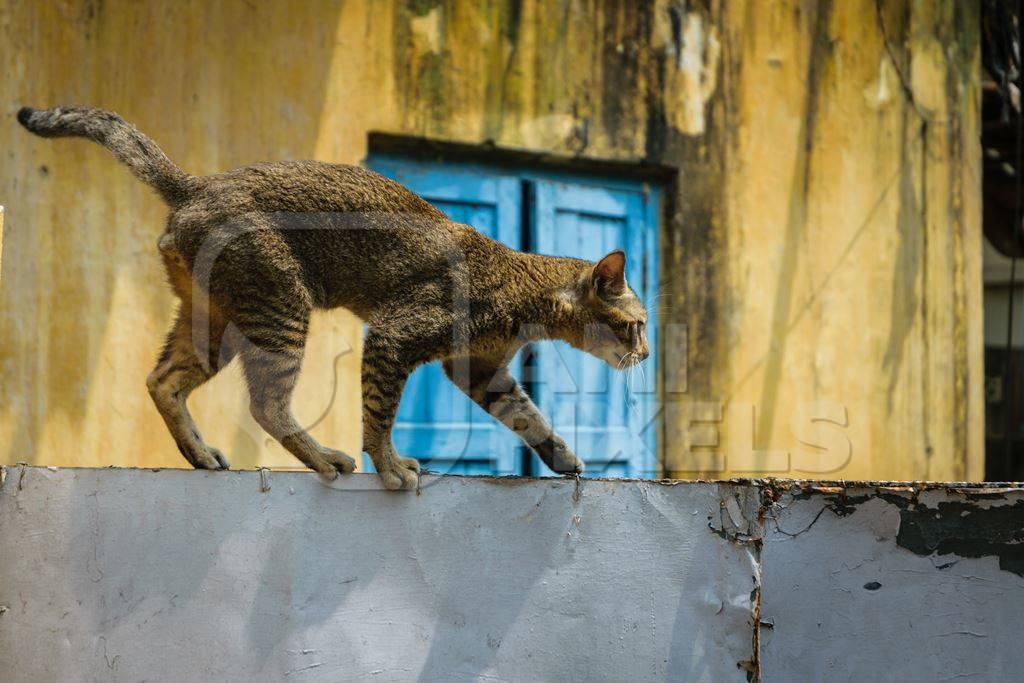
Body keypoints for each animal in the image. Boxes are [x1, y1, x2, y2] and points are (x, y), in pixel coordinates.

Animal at [18, 105, 647, 491]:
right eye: (638, 325)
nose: (645, 352)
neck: (522, 290)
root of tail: (196, 184)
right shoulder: (395, 336)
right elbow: (379, 414)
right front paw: (389, 466)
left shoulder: (478, 367)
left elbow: (526, 414)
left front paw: (561, 455)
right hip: (281, 308)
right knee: (267, 405)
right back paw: (322, 457)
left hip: (216, 321)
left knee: (162, 380)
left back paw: (201, 454)